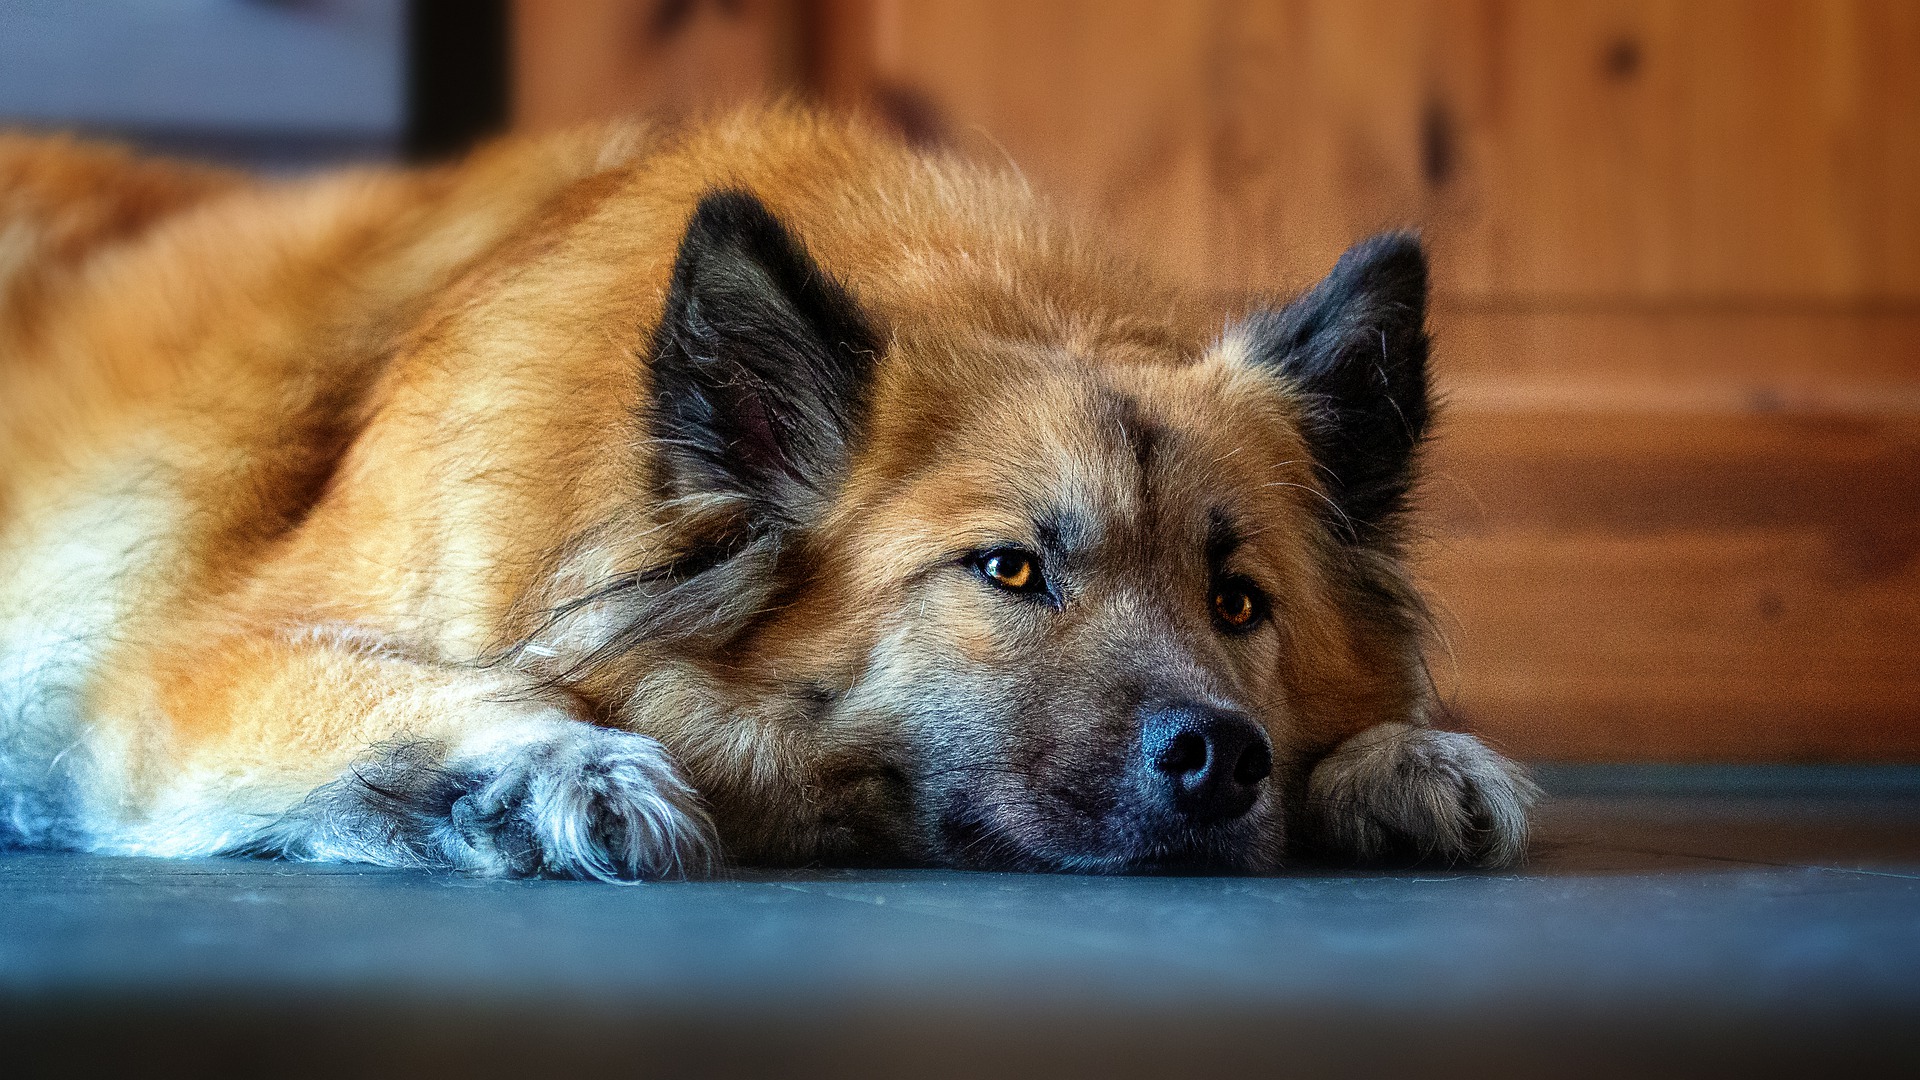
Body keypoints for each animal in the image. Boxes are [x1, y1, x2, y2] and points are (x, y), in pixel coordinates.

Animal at [0, 107, 1528, 876]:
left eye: (1240, 602)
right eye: (1010, 570)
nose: (1222, 758)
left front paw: (1401, 759)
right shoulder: (180, 668)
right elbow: (418, 682)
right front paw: (555, 762)